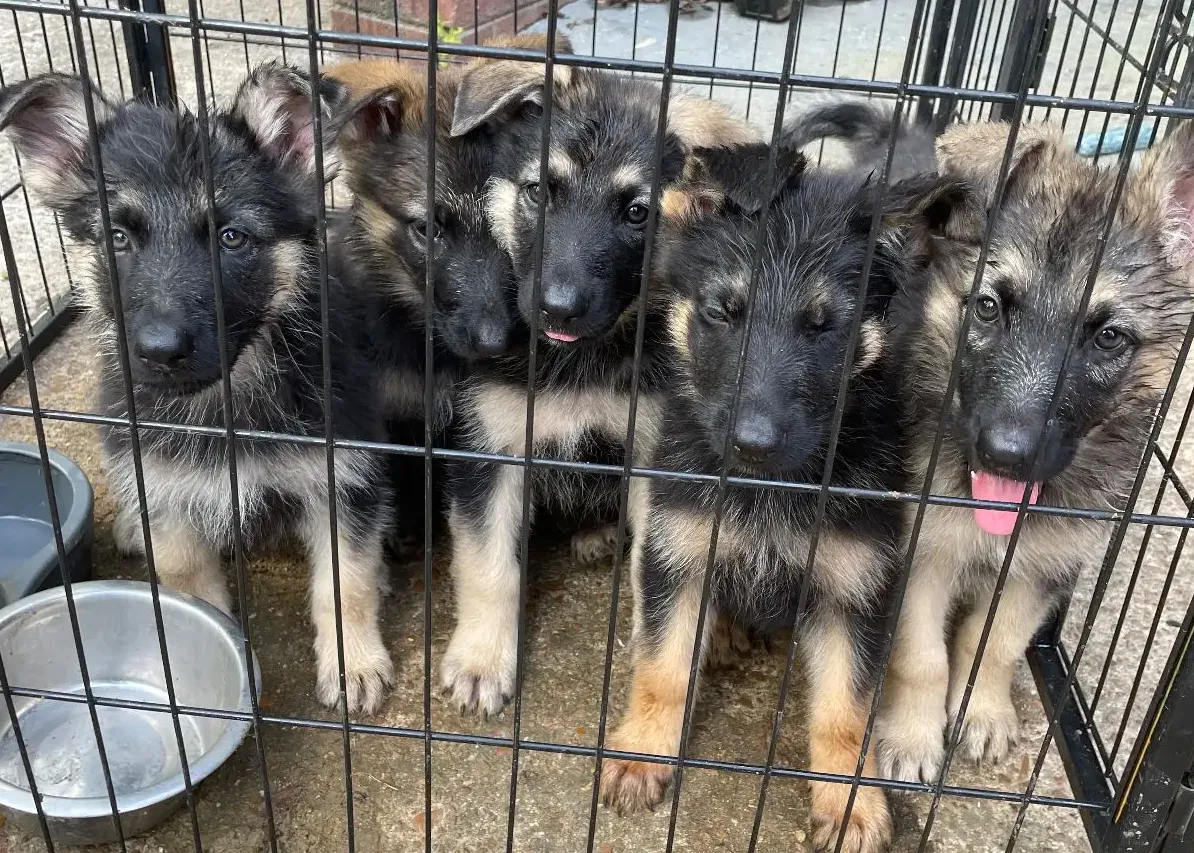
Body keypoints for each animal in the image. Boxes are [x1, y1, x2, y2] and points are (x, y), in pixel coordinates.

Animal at [0, 59, 401, 712]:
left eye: (231, 237)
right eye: (117, 238)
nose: (159, 352)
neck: (226, 403)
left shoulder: (342, 480)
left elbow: (346, 583)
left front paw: (355, 663)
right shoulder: (172, 498)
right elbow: (191, 593)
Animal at [597, 142, 959, 845]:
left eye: (824, 327)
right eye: (722, 312)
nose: (753, 444)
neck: (771, 489)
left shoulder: (856, 592)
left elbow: (844, 712)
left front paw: (850, 804)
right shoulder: (677, 555)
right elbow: (661, 669)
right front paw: (643, 752)